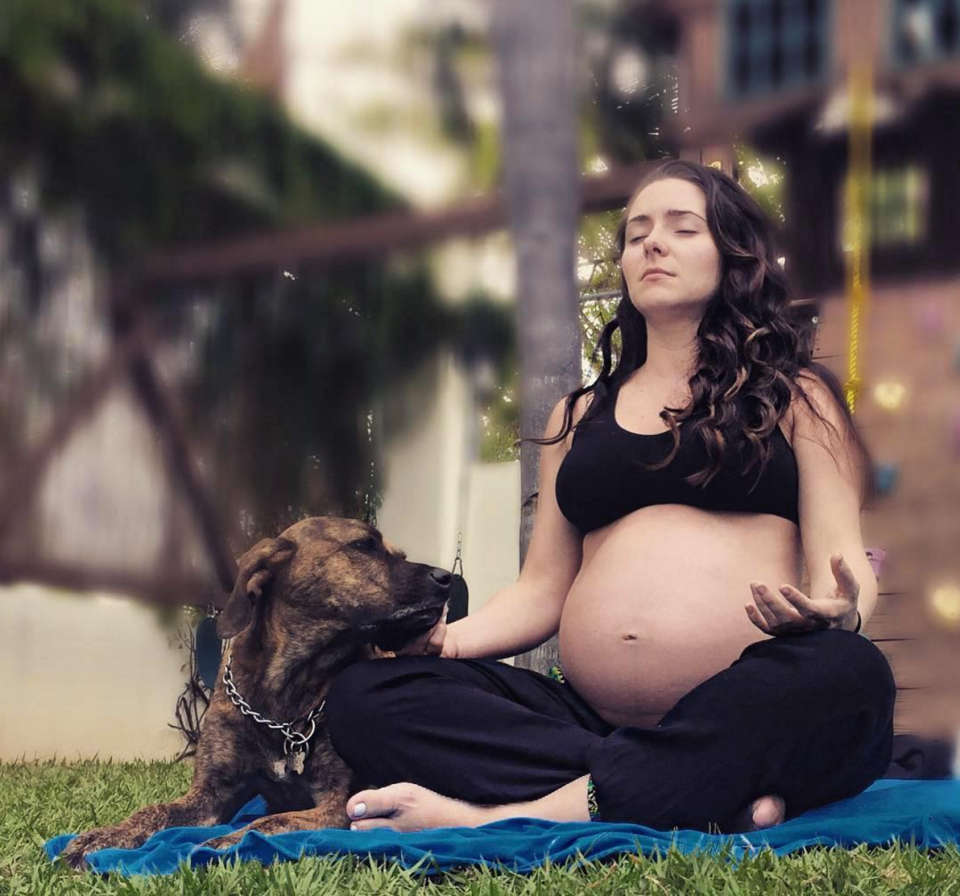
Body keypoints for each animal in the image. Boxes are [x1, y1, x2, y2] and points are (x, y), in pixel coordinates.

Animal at [60, 516, 450, 872]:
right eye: (364, 546)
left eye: (399, 555)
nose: (447, 578)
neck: (288, 685)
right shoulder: (210, 793)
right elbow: (154, 810)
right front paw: (104, 835)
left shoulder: (337, 802)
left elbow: (268, 822)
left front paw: (229, 841)